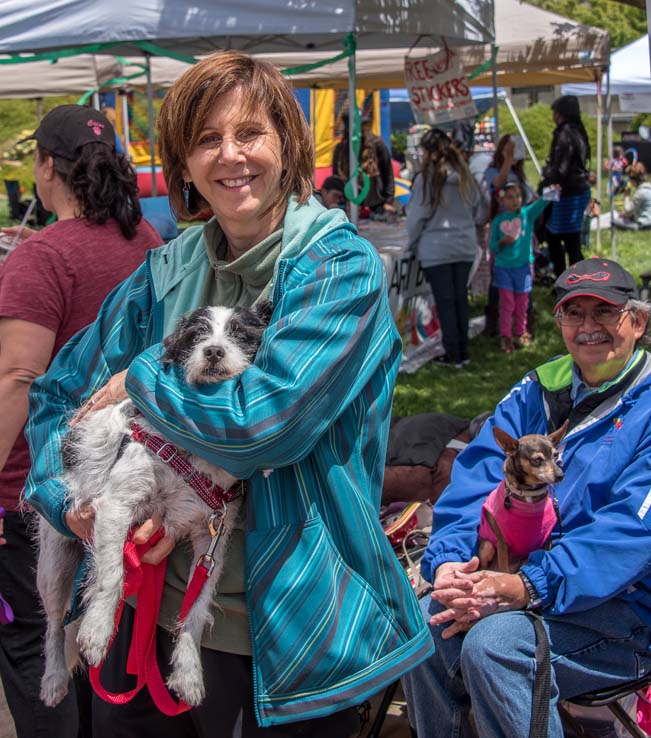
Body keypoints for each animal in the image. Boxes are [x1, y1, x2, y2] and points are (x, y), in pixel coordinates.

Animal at [38, 300, 272, 708]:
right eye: (196, 335)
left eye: (242, 335)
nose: (213, 351)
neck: (193, 452)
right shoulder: (116, 507)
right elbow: (112, 575)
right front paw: (98, 631)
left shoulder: (210, 543)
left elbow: (196, 609)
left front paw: (188, 672)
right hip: (54, 562)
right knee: (54, 624)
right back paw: (53, 678)